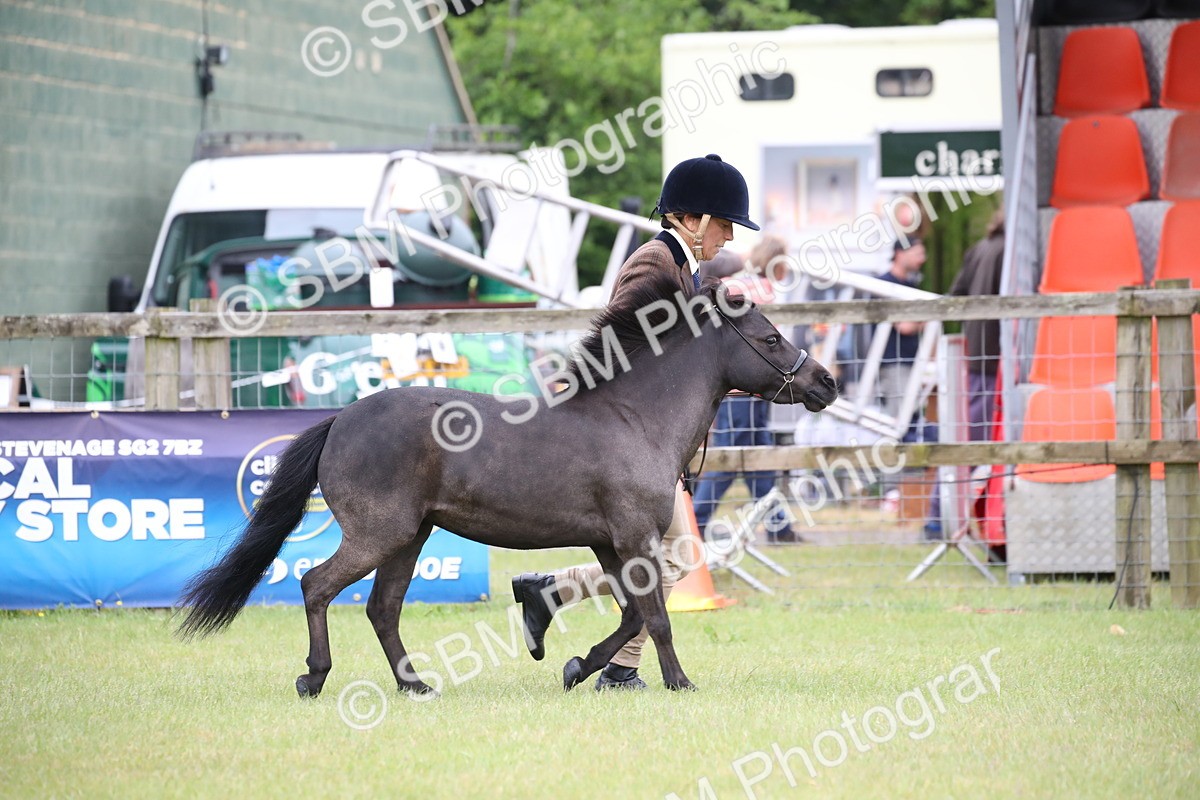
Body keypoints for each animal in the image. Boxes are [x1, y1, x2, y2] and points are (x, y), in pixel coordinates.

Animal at [177, 274, 838, 696]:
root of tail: (341, 418)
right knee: (316, 586)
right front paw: (679, 682)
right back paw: (314, 678)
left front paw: (575, 665)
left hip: (410, 538)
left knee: (382, 608)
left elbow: (629, 615)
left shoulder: (610, 543)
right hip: (379, 533)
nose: (826, 383)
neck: (634, 417)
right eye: (771, 338)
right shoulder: (633, 538)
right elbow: (654, 617)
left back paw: (417, 685)